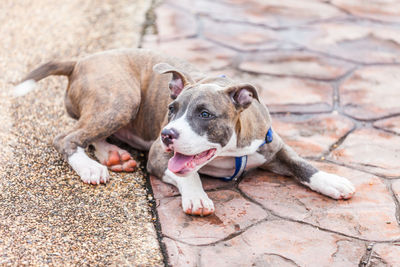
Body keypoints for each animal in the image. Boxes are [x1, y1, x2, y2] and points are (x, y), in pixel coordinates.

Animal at [14, 48, 354, 216]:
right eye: (172, 109)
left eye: (205, 114)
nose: (167, 134)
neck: (232, 148)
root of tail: (81, 59)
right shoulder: (157, 156)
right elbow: (189, 174)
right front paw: (198, 198)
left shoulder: (273, 144)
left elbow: (302, 164)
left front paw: (331, 181)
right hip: (122, 98)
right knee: (67, 138)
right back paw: (91, 167)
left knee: (90, 133)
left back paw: (113, 155)